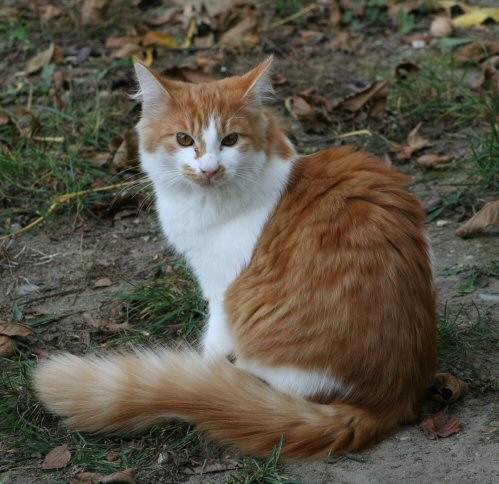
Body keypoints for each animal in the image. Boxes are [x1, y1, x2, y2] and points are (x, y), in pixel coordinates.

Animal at [34, 56, 438, 458]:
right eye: (184, 139)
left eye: (230, 140)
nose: (210, 168)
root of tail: (387, 403)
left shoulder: (221, 290)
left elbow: (212, 346)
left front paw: (202, 374)